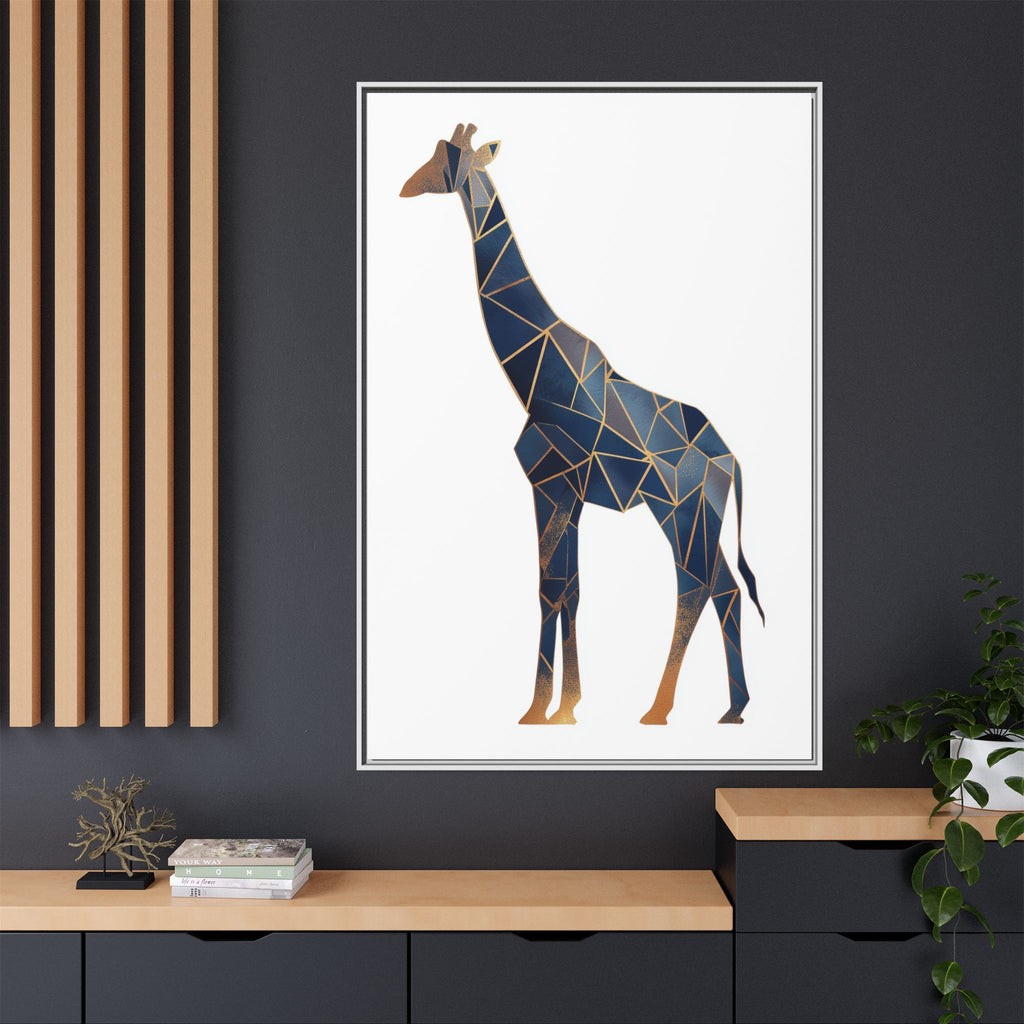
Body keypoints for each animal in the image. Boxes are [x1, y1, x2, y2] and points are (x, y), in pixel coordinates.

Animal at [400, 123, 765, 726]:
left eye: (446, 159)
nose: (407, 186)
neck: (534, 374)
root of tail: (730, 460)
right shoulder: (565, 493)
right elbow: (567, 588)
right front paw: (561, 706)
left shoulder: (552, 484)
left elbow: (552, 588)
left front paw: (545, 708)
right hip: (699, 515)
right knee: (725, 589)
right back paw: (733, 708)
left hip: (679, 510)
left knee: (694, 586)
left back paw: (659, 709)